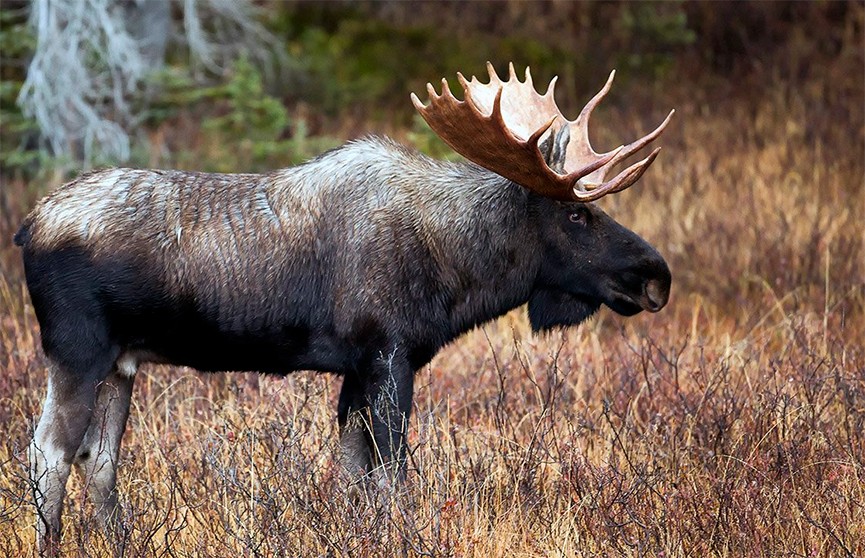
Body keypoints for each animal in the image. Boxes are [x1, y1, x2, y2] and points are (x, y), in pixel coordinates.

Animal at [16, 63, 672, 552]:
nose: (655, 277)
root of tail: (28, 227)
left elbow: (353, 478)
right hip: (78, 352)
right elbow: (391, 481)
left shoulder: (357, 370)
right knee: (48, 452)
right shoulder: (387, 355)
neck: (457, 269)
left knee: (98, 459)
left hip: (123, 363)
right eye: (576, 214)